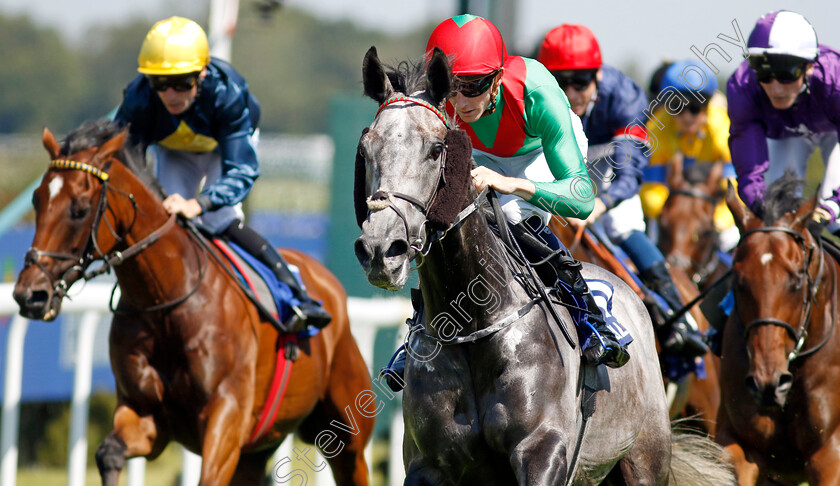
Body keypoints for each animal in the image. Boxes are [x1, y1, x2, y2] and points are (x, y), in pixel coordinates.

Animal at [12, 119, 374, 484]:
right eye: (37, 200)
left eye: (80, 209)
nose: (30, 294)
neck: (168, 300)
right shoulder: (146, 415)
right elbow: (108, 452)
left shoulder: (227, 416)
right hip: (258, 449)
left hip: (347, 435)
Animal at [352, 46, 732, 486]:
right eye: (366, 150)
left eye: (435, 149)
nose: (381, 249)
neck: (472, 325)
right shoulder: (428, 464)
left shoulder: (542, 451)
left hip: (646, 456)